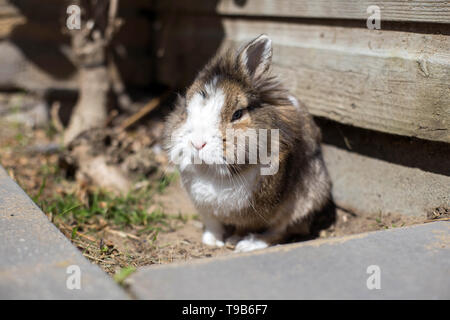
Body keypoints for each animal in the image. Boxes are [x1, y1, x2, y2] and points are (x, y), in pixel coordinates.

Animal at [163, 34, 332, 252]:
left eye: (238, 114)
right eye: (185, 110)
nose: (198, 144)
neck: (213, 172)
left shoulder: (256, 212)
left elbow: (249, 227)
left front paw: (235, 241)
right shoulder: (205, 208)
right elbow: (213, 225)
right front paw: (211, 241)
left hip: (303, 204)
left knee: (279, 232)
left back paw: (248, 244)